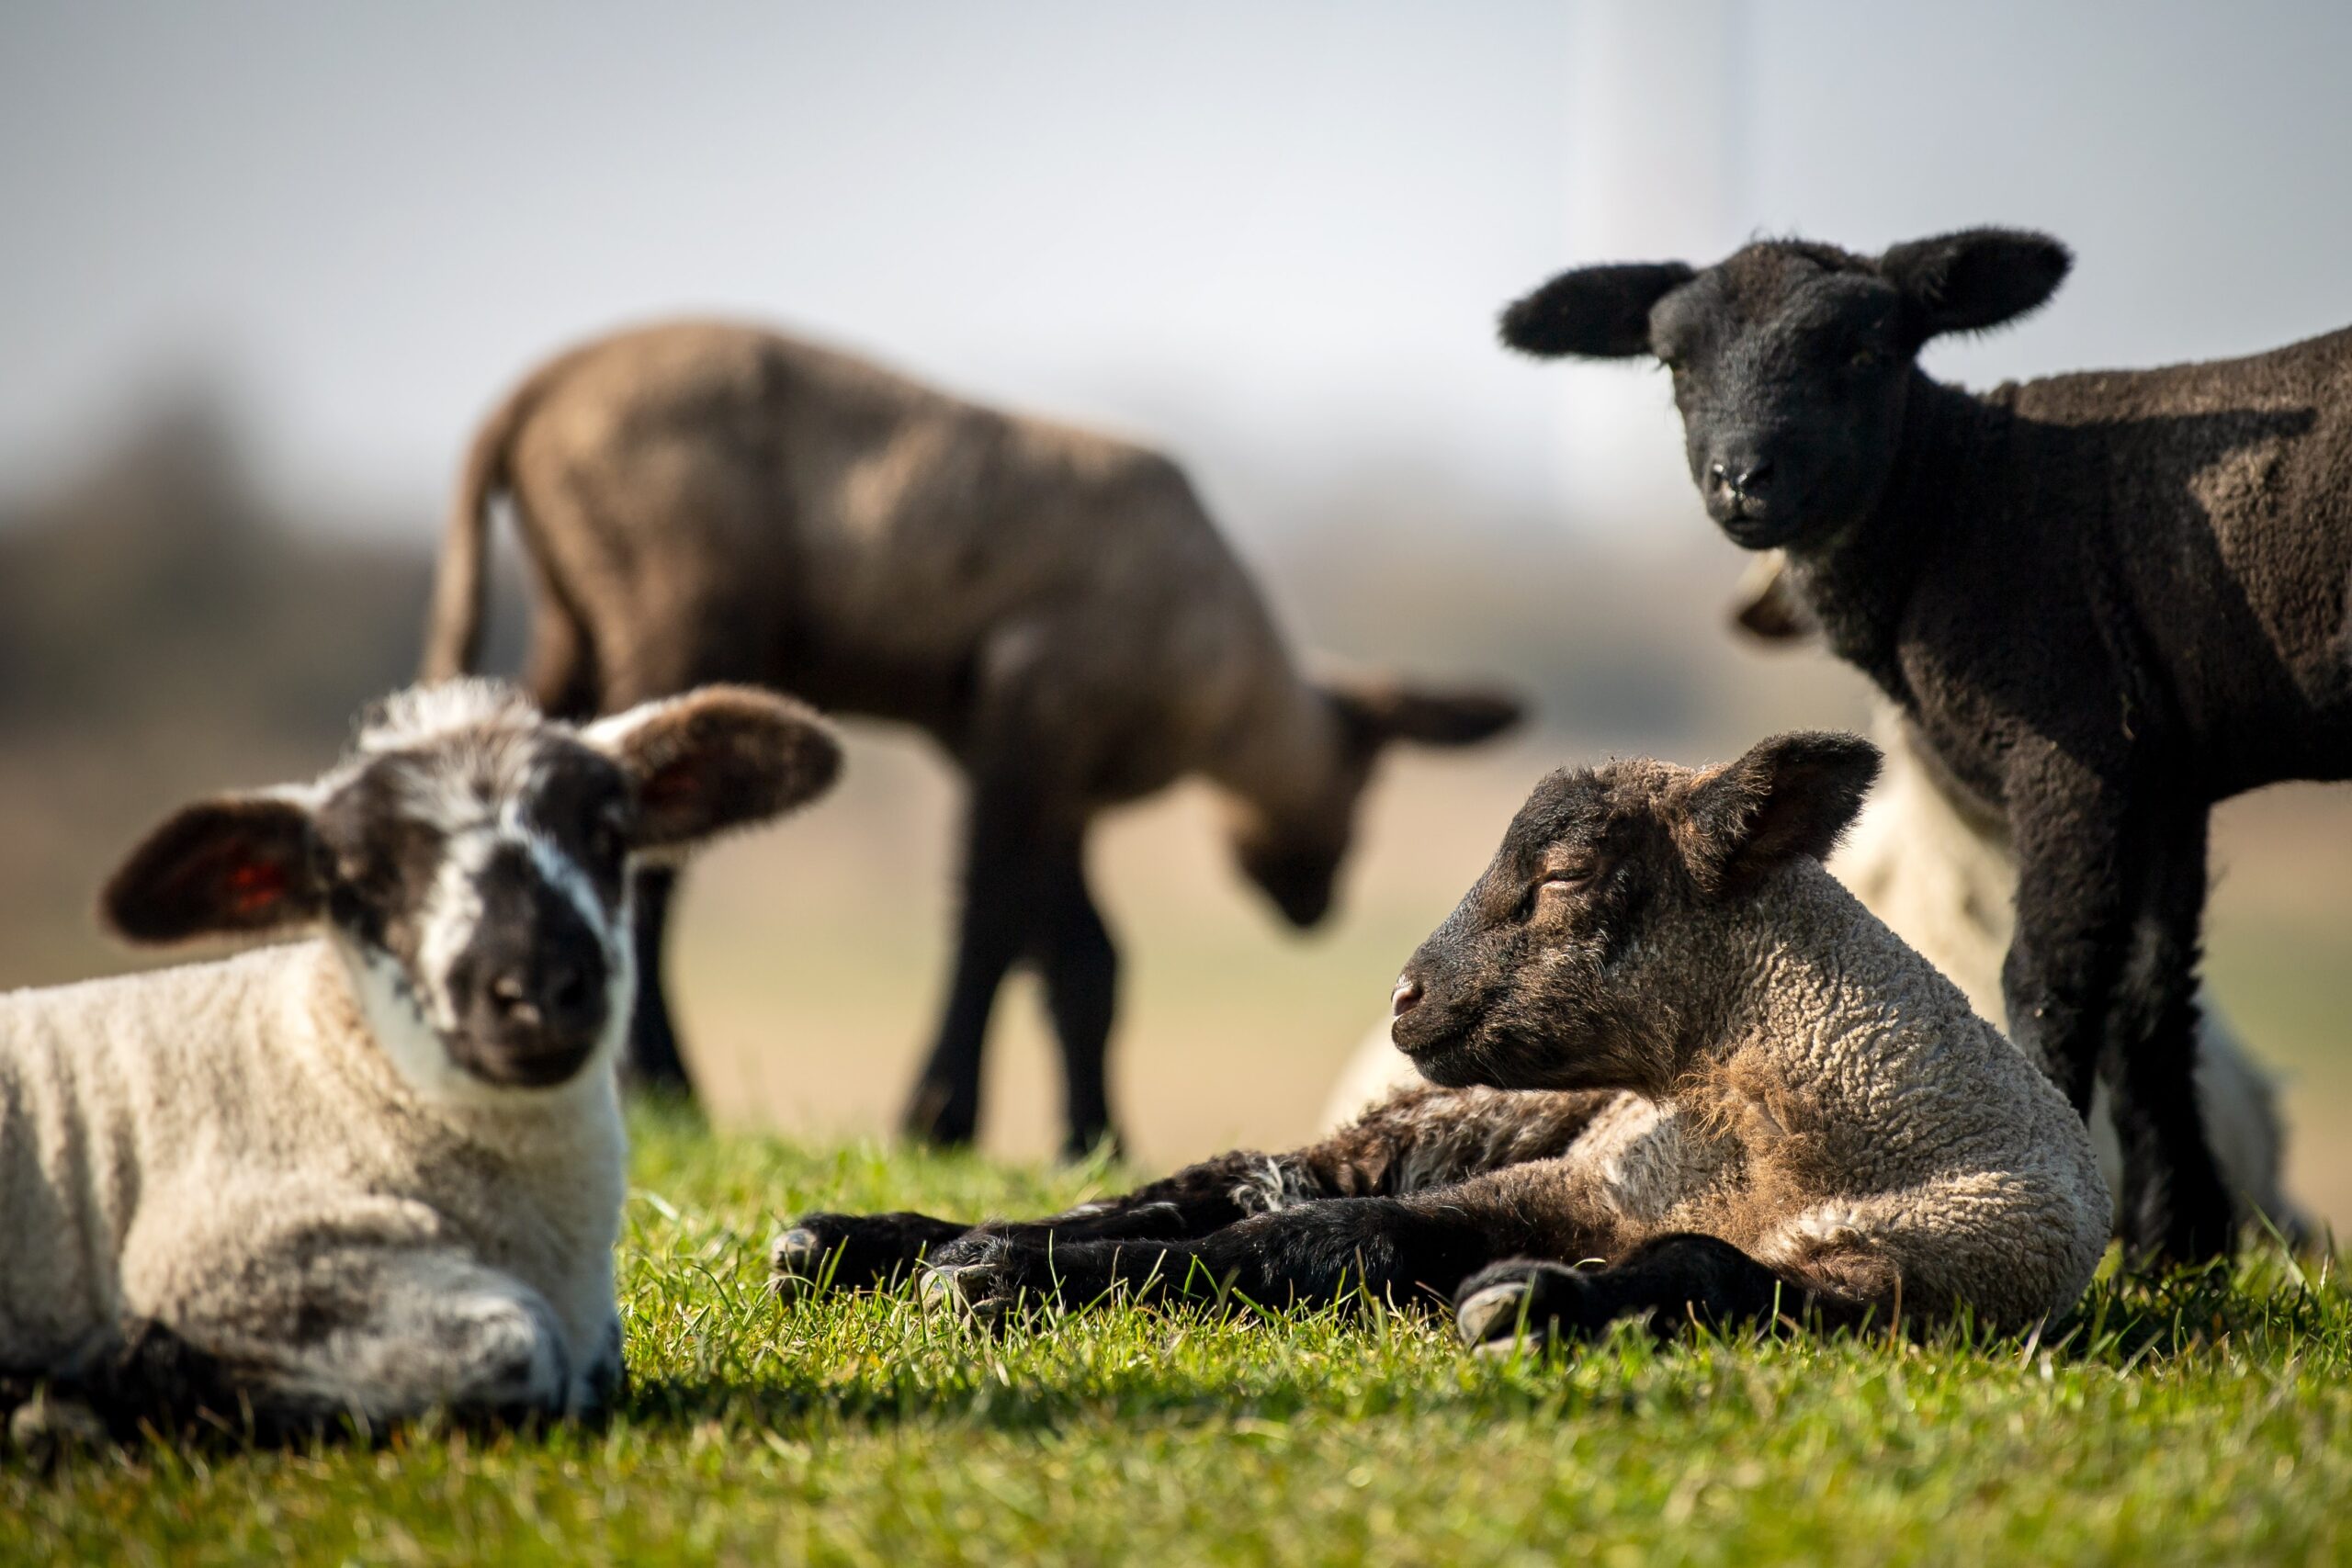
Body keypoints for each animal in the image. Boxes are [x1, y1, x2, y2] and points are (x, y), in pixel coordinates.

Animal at [0, 682, 846, 1438]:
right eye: (361, 879)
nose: (539, 988)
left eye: (607, 837)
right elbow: (521, 1345)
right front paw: (136, 1377)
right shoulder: (230, 1258)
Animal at [418, 321, 1523, 1152]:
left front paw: (1093, 1139)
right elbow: (992, 921)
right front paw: (940, 1119)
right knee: (651, 857)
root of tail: (530, 399)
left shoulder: (1055, 771)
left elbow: (1084, 960)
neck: (1224, 688)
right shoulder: (1031, 714)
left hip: (580, 609)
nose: (1313, 907)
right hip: (675, 599)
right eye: (1365, 790)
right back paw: (665, 1091)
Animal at [775, 738, 2117, 1354]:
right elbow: (1336, 1234)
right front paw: (993, 1273)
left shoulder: (1901, 1284)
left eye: (1564, 874)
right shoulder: (1565, 1180)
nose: (1403, 995)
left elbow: (1707, 1270)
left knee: (1227, 1192)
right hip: (1461, 1115)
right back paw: (877, 1243)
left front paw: (1527, 1302)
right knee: (1226, 1183)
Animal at [1496, 226, 2352, 1259]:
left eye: (1866, 352)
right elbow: (2152, 999)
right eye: (1672, 363)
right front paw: (2176, 1247)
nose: (1742, 480)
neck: (1957, 502)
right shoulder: (2164, 773)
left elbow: (2051, 979)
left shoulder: (2074, 750)